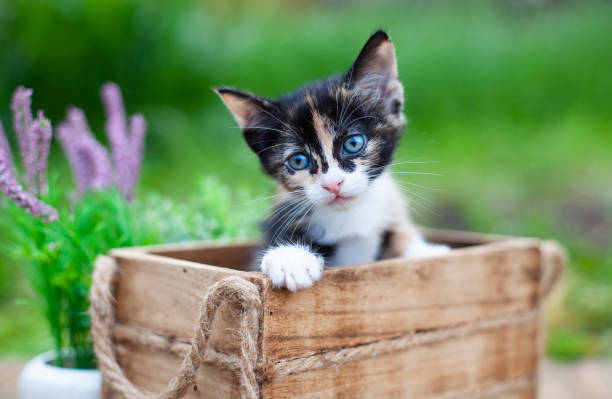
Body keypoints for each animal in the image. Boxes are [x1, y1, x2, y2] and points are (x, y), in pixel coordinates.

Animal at [218, 29, 448, 292]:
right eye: (298, 161)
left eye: (353, 143)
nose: (333, 184)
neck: (349, 217)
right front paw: (291, 258)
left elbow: (400, 233)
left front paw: (425, 250)